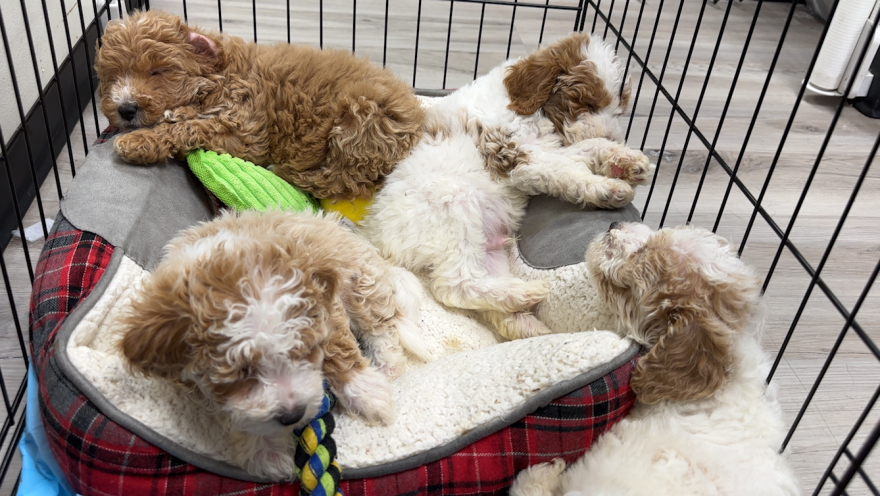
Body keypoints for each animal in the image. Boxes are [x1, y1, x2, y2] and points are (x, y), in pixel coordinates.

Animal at [119, 209, 430, 480]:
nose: (293, 414)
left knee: (382, 326)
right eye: (241, 373)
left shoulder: (328, 312)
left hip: (361, 281)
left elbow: (340, 349)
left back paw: (389, 366)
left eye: (305, 351)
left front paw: (368, 394)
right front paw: (266, 451)